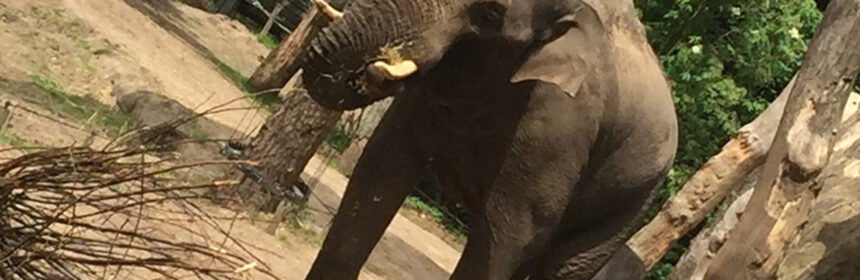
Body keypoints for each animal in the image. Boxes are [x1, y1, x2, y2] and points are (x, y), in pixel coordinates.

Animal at [298, 0, 676, 278]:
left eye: (491, 14)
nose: (372, 69)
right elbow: (379, 173)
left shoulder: (558, 125)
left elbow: (509, 235)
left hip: (633, 201)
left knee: (565, 265)